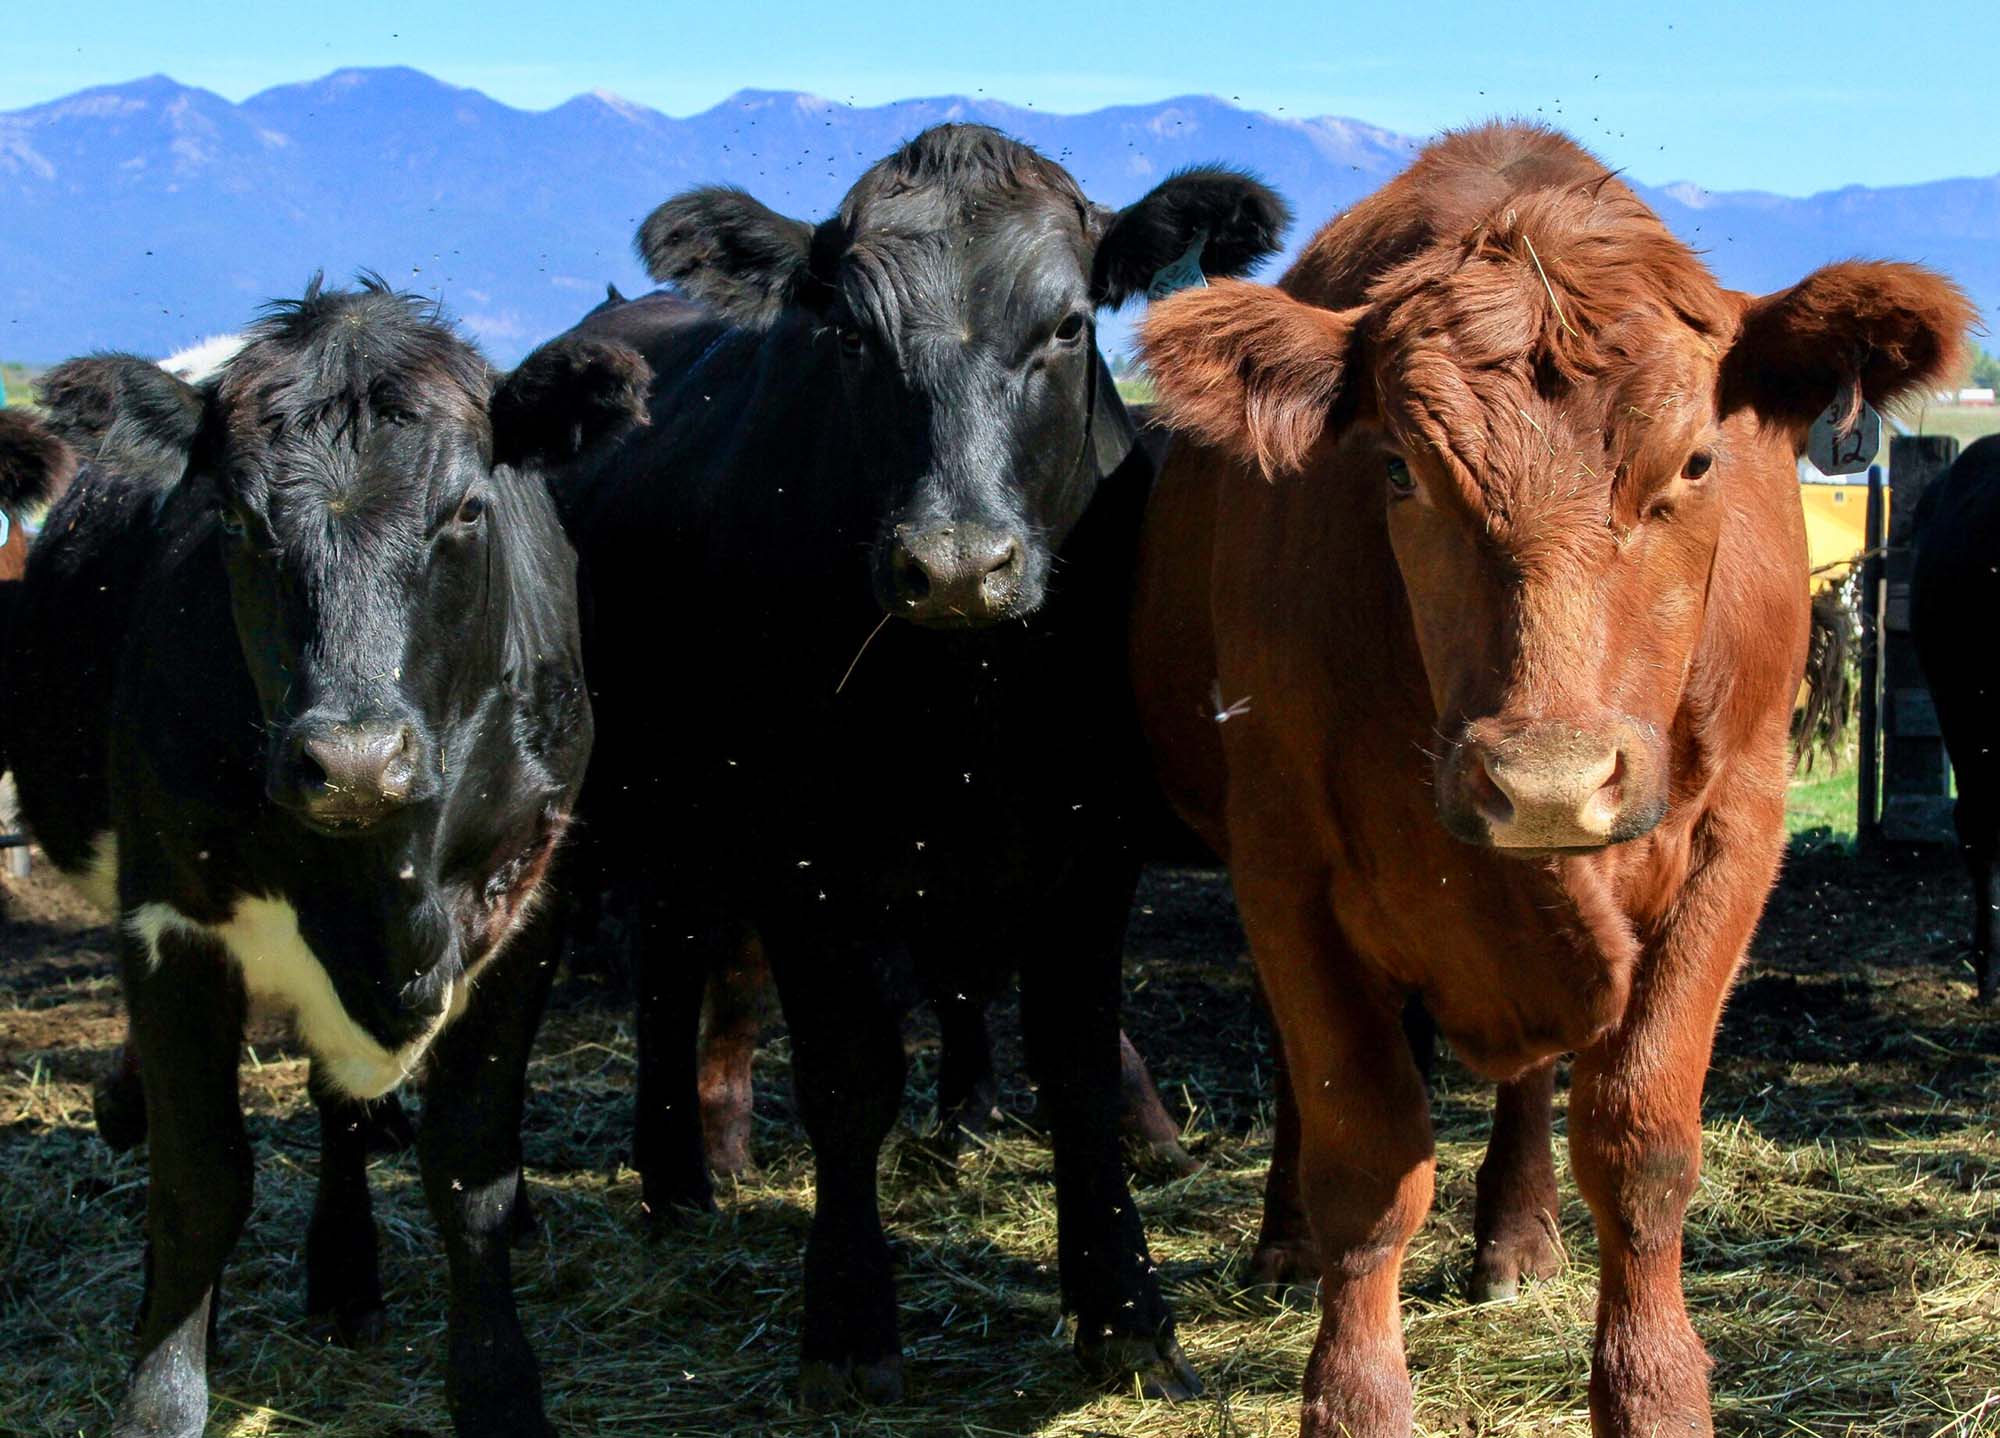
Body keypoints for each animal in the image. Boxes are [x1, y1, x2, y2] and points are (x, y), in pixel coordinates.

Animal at [4, 278, 648, 1438]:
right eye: (235, 519)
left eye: (467, 511)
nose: (351, 761)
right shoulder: (167, 920)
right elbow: (200, 1179)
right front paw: (162, 1393)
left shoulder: (529, 909)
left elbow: (471, 1174)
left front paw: (498, 1387)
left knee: (340, 1103)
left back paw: (346, 1274)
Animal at [551, 124, 1287, 1407]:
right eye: (848, 334)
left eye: (1067, 326)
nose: (955, 565)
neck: (964, 699)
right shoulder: (802, 853)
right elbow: (849, 1072)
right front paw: (847, 1325)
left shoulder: (1089, 844)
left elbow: (1076, 1065)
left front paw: (1124, 1312)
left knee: (671, 953)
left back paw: (681, 1181)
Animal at [1133, 122, 1970, 1435]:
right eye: (1397, 471)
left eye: (1695, 459)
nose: (1543, 784)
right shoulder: (1283, 857)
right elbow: (1362, 1146)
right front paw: (1354, 1398)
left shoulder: (1735, 834)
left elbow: (1640, 1141)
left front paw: (1652, 1388)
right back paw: (1282, 1242)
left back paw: (1516, 1239)